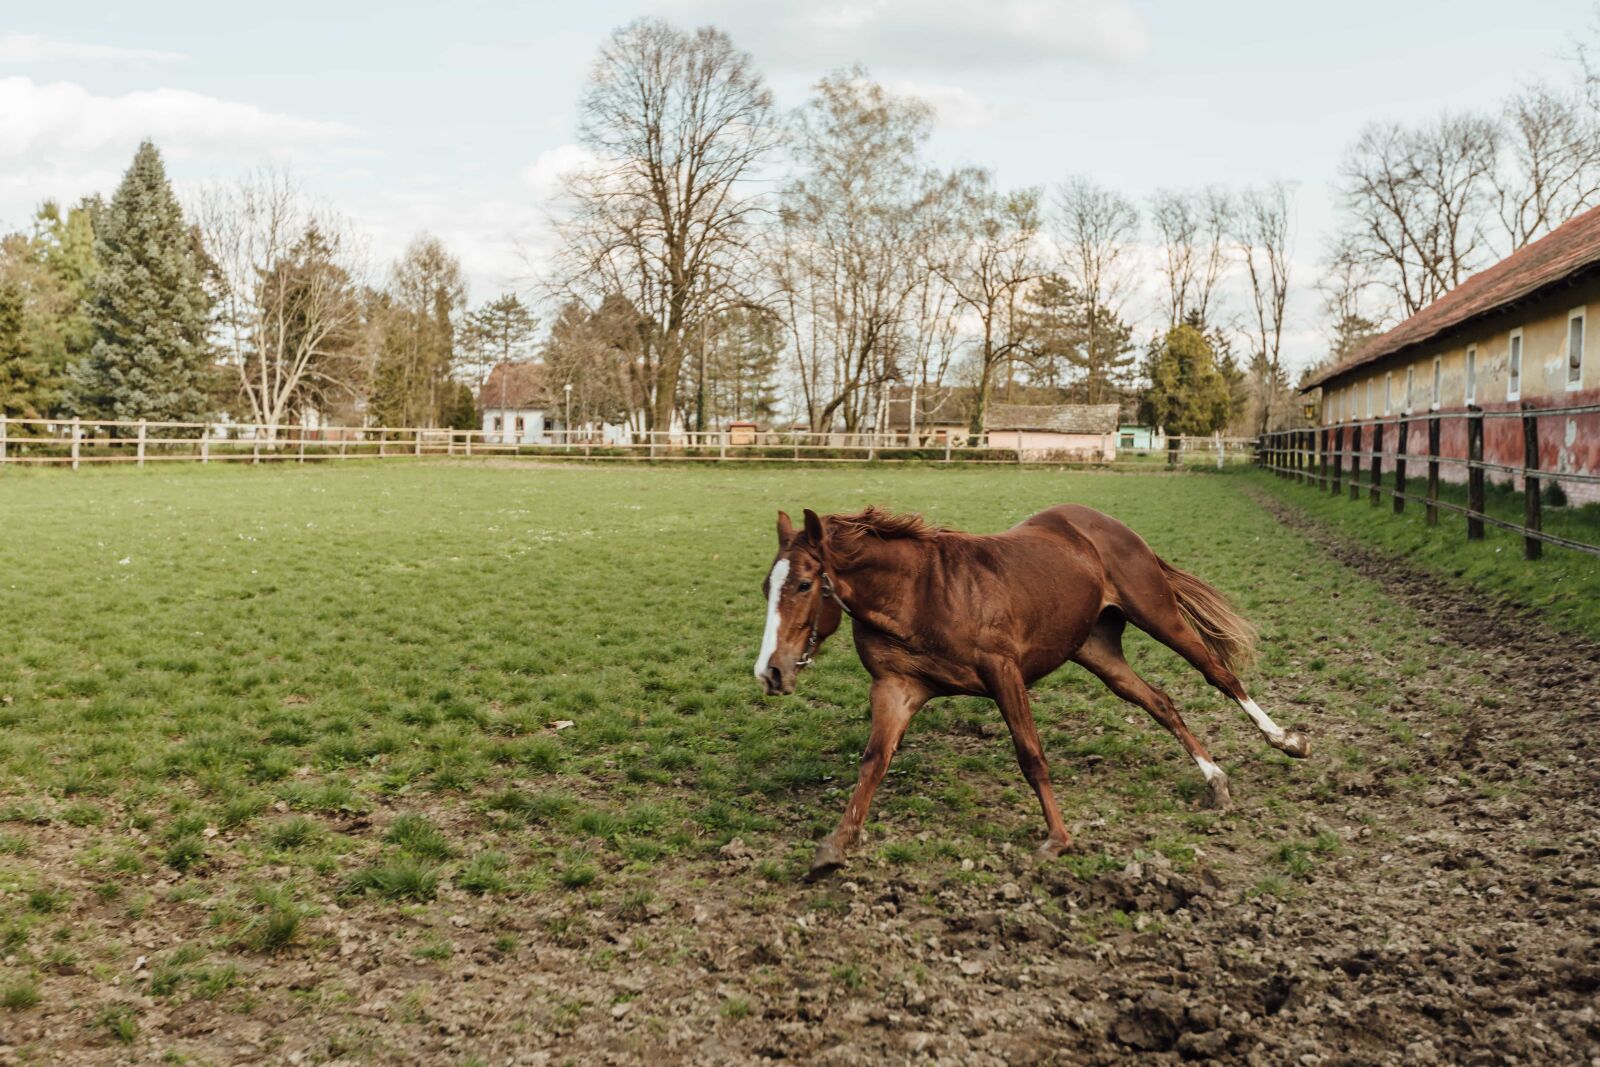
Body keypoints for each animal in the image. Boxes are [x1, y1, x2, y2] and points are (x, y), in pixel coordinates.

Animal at [754, 504, 1310, 881]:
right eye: (766, 587)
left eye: (804, 584)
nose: (770, 672)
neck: (920, 593)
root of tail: (1103, 523)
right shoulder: (896, 689)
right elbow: (874, 761)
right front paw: (836, 846)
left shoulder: (1004, 673)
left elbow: (1031, 755)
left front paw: (1057, 840)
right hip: (1097, 650)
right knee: (1160, 702)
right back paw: (1215, 780)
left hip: (1158, 614)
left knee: (1220, 674)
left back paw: (1287, 742)